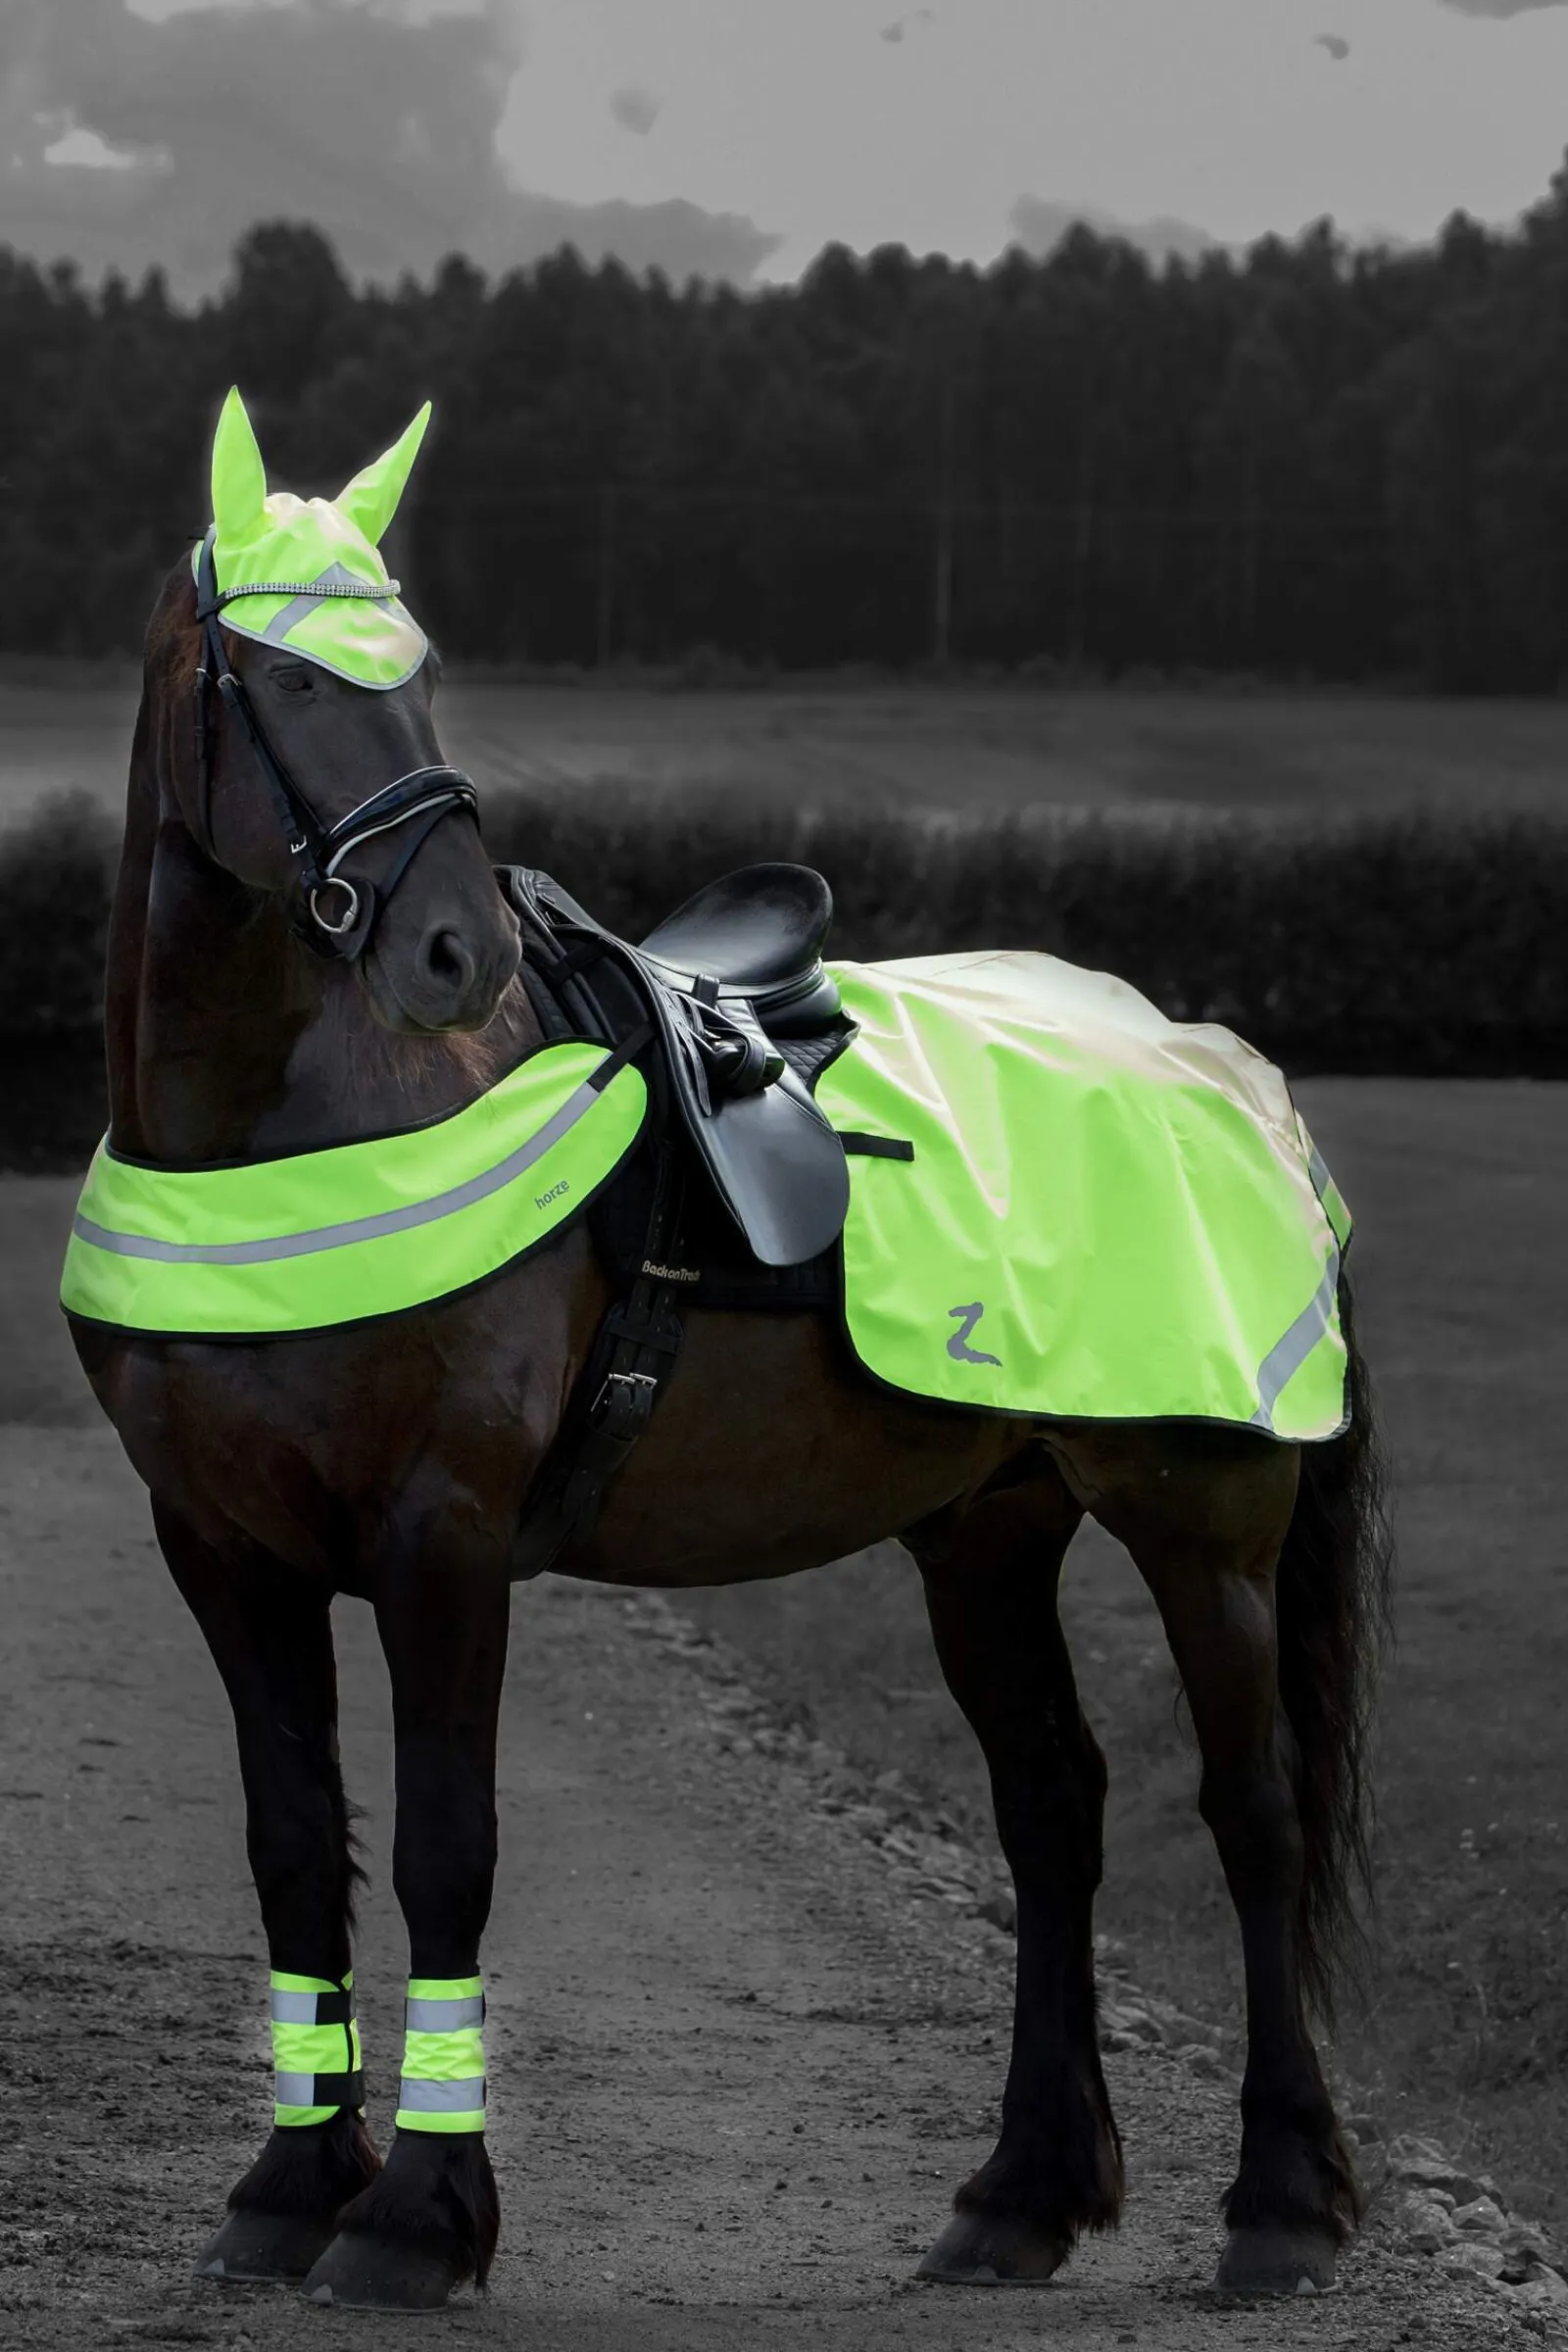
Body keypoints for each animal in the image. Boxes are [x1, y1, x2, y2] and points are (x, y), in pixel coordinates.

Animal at [66, 391, 1391, 2312]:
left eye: (421, 667)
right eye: (283, 675)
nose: (453, 951)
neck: (296, 1127)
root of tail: (1222, 1066)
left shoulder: (442, 1540)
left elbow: (445, 1849)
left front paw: (416, 2220)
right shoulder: (225, 1552)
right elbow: (297, 1851)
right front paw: (289, 2187)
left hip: (1201, 1528)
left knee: (1252, 1817)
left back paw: (1282, 2204)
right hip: (987, 1533)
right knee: (1054, 1810)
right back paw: (1020, 2194)